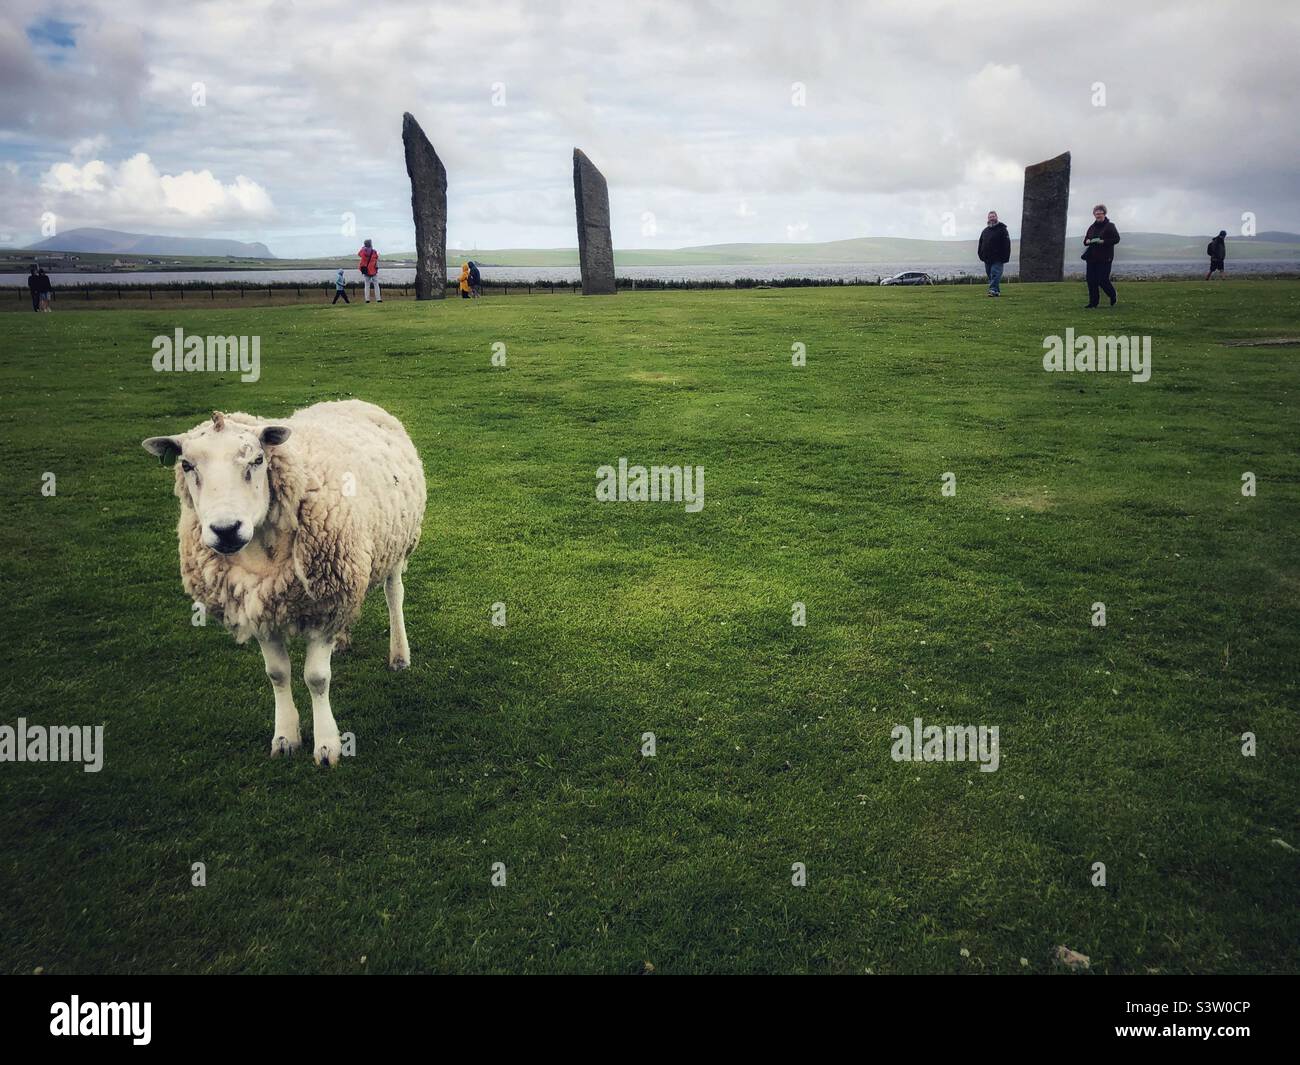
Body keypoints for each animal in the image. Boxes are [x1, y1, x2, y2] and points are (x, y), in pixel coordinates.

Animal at [143, 403, 428, 764]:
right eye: (186, 464)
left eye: (257, 460)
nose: (226, 530)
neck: (261, 548)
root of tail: (350, 401)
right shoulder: (260, 606)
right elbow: (277, 673)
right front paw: (285, 737)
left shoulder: (323, 602)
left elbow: (317, 678)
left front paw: (327, 745)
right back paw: (343, 640)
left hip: (395, 545)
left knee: (394, 596)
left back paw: (399, 655)